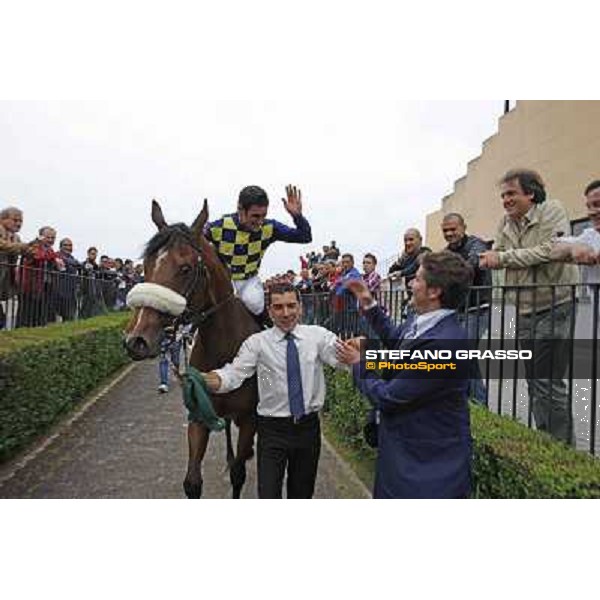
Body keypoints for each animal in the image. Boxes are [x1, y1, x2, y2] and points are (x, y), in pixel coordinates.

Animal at [125, 199, 258, 500]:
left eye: (185, 268)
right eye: (146, 265)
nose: (137, 340)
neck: (225, 349)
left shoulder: (248, 419)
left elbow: (238, 474)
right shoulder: (198, 414)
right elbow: (192, 482)